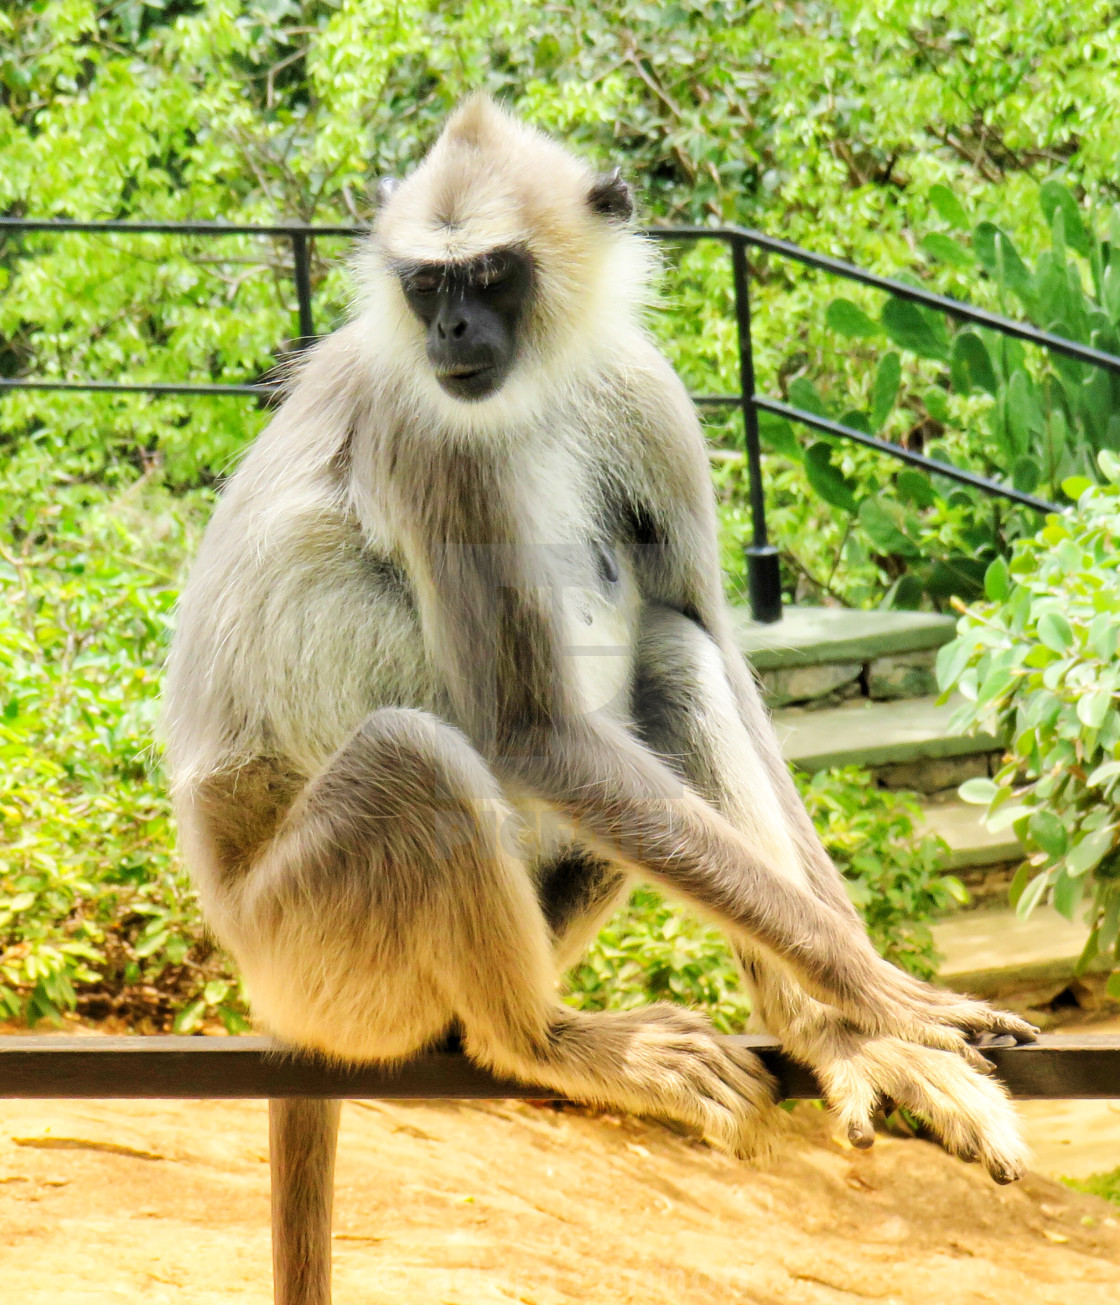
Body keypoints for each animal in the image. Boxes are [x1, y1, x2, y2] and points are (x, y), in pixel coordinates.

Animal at [161, 94, 1033, 1305]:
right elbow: (529, 731)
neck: (535, 389)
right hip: (313, 944)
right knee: (420, 755)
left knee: (670, 657)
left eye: (491, 276)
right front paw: (881, 991)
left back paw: (823, 1035)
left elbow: (713, 641)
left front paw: (866, 1016)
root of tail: (262, 985)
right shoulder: (433, 434)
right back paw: (540, 1042)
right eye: (427, 286)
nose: (451, 334)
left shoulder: (639, 388)